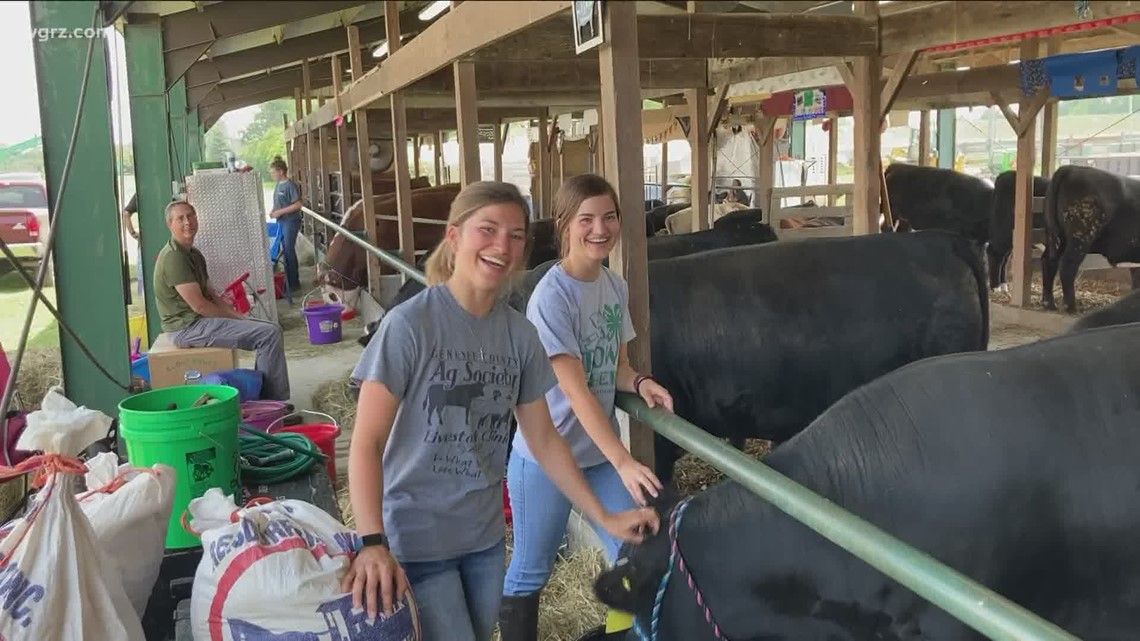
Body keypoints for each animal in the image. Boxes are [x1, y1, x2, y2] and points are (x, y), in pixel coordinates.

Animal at [1044, 164, 1140, 312]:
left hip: (1054, 237)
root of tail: (1072, 168)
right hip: (1080, 238)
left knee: (1048, 261)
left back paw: (1049, 303)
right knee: (1067, 265)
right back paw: (1071, 307)